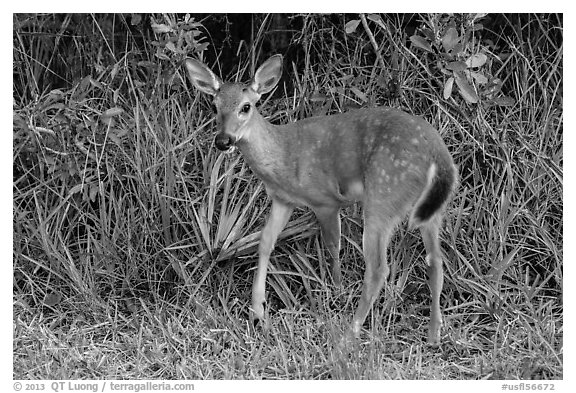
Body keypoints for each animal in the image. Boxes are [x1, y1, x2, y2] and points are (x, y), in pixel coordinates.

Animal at [187, 53, 456, 344]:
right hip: (431, 207)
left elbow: (332, 245)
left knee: (378, 268)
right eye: (214, 106)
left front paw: (336, 287)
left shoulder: (325, 200)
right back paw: (433, 334)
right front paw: (257, 312)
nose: (223, 141)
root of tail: (438, 153)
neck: (282, 157)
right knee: (436, 260)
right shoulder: (283, 199)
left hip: (384, 193)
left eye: (246, 107)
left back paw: (350, 333)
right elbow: (265, 242)